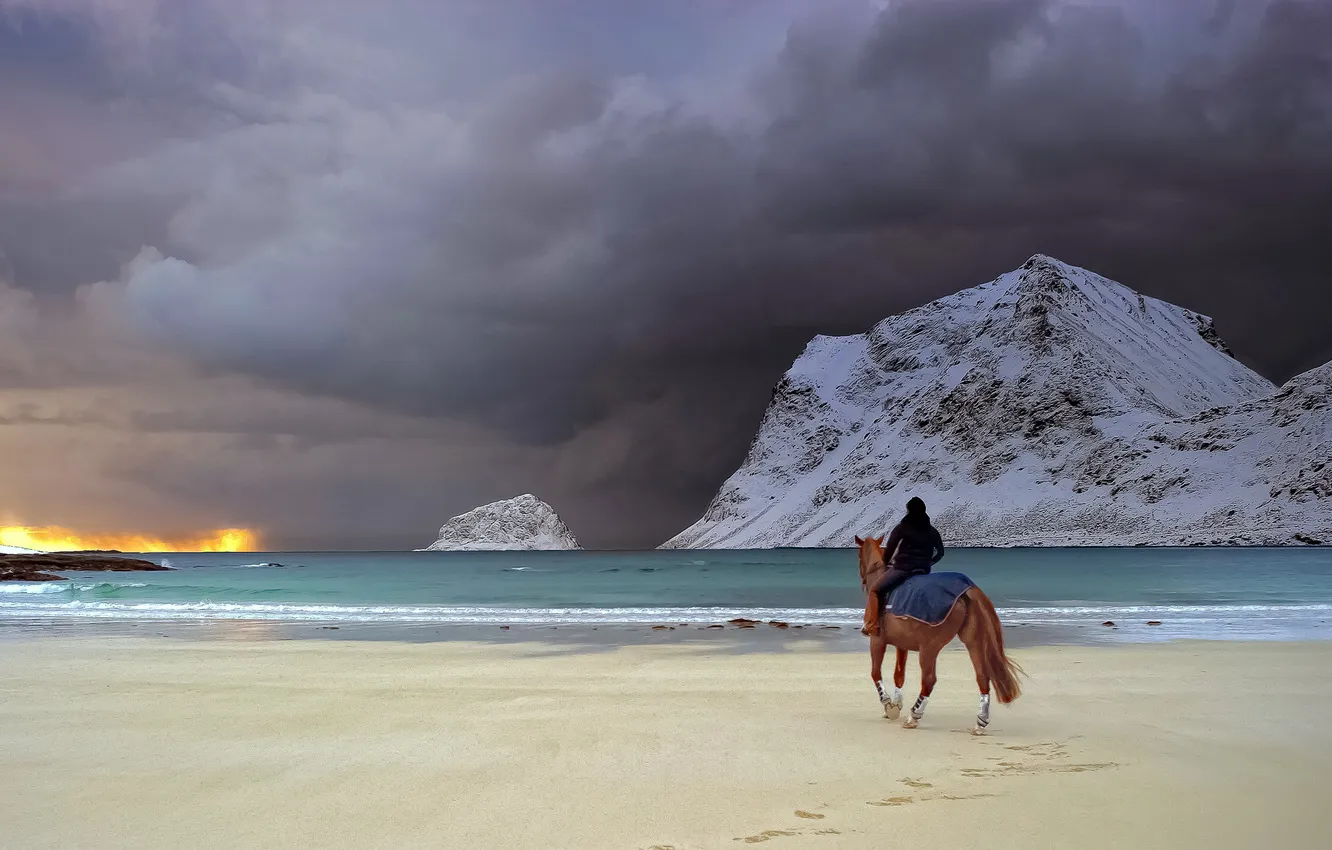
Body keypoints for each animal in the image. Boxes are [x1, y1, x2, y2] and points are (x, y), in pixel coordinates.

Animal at [855, 534, 1023, 734]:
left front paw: (888, 704)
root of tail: (967, 590)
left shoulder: (877, 640)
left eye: (859, 557)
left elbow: (875, 673)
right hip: (973, 641)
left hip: (929, 648)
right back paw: (981, 722)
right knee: (982, 676)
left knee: (929, 680)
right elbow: (899, 675)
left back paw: (914, 717)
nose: (863, 582)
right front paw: (896, 704)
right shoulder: (902, 645)